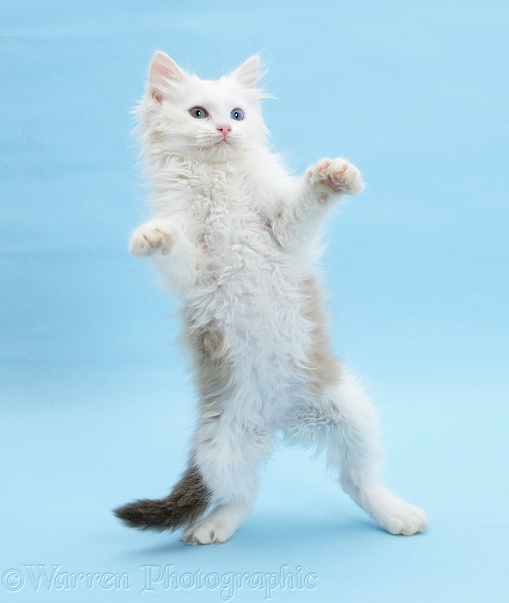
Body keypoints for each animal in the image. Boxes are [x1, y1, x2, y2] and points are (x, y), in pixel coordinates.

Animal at [113, 52, 426, 544]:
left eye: (238, 114)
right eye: (199, 113)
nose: (225, 128)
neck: (217, 182)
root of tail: (280, 419)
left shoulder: (283, 231)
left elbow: (304, 206)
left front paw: (333, 176)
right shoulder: (197, 274)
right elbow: (178, 251)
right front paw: (153, 236)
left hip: (351, 411)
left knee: (357, 479)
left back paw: (395, 513)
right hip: (218, 444)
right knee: (243, 495)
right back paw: (212, 526)